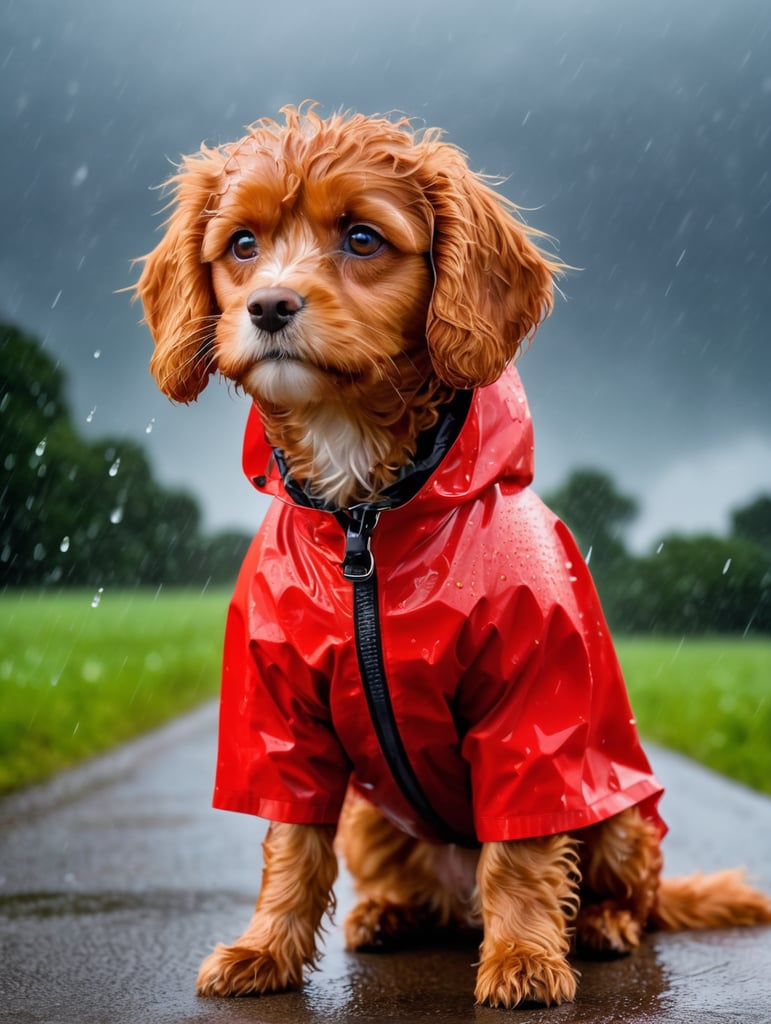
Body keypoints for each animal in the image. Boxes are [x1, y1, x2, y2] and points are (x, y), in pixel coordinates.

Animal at [132, 105, 769, 1007]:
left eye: (362, 238)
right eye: (243, 244)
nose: (268, 306)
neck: (364, 513)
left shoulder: (533, 710)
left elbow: (523, 853)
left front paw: (525, 959)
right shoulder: (276, 712)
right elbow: (289, 845)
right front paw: (265, 950)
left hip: (617, 806)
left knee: (620, 893)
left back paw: (597, 927)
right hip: (370, 814)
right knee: (417, 893)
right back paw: (389, 915)